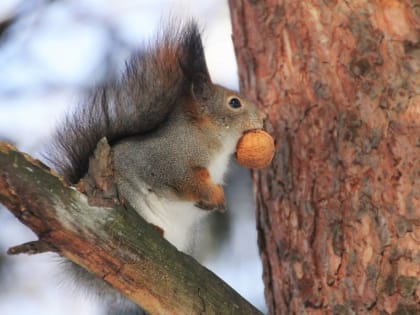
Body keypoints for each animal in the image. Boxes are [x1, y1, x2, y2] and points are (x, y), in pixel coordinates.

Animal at [47, 19, 266, 314]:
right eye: (234, 103)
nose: (264, 117)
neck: (208, 138)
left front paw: (218, 202)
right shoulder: (170, 162)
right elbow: (186, 182)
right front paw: (214, 196)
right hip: (126, 198)